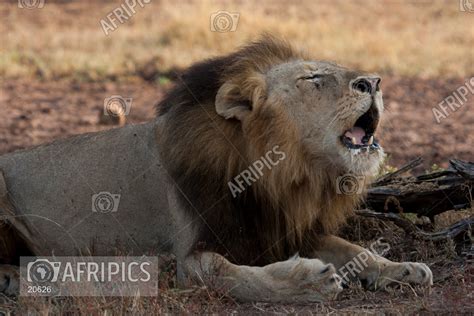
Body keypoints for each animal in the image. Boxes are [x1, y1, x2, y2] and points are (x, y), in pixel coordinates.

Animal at [0, 36, 434, 302]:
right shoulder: (188, 258)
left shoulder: (281, 229)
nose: (374, 82)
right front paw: (308, 281)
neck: (277, 173)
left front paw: (403, 269)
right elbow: (229, 273)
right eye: (312, 77)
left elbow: (354, 250)